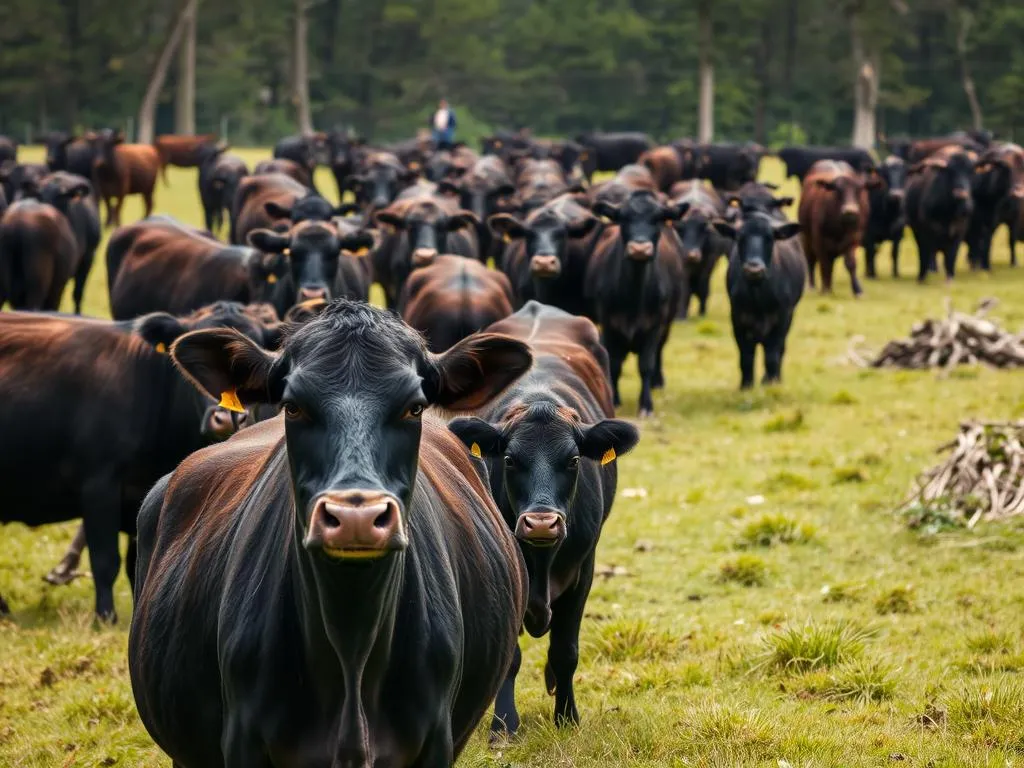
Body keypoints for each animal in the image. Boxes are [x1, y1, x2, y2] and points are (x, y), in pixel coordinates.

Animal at [450, 299, 638, 741]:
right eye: (509, 459)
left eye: (573, 460)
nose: (540, 523)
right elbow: (512, 655)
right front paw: (503, 724)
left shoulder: (584, 570)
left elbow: (566, 650)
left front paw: (567, 715)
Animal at [716, 211, 802, 387]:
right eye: (740, 238)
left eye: (770, 238)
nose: (754, 269)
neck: (759, 301)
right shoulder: (737, 320)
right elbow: (746, 358)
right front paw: (746, 385)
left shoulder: (782, 319)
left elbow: (772, 356)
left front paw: (771, 383)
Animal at [798, 159, 872, 296]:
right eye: (837, 190)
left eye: (858, 190)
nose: (850, 211)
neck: (839, 227)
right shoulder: (819, 241)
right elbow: (824, 263)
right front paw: (825, 289)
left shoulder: (854, 238)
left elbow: (850, 263)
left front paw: (857, 290)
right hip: (806, 237)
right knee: (811, 259)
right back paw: (813, 286)